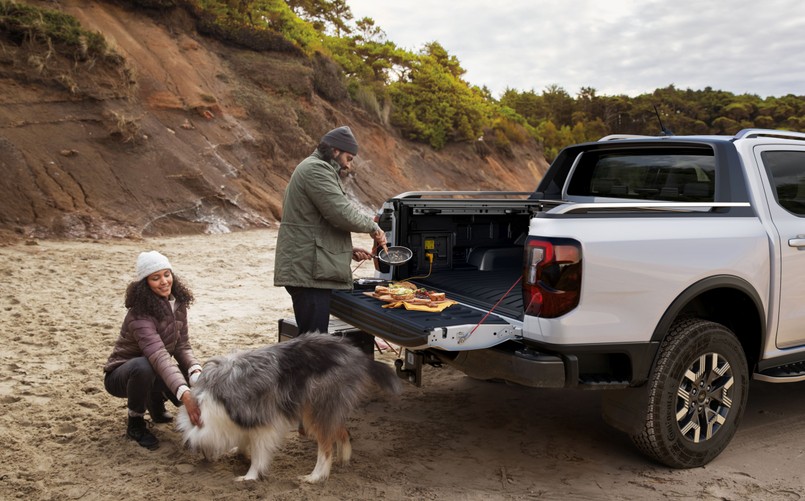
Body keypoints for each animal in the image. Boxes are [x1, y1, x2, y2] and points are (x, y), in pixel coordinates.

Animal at [176, 332, 402, 480]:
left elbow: (258, 454)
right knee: (342, 432)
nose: (206, 461)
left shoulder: (262, 423)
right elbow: (244, 440)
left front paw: (249, 476)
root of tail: (358, 355)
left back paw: (314, 477)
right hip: (326, 408)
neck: (212, 404)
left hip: (315, 410)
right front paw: (239, 452)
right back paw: (343, 459)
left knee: (326, 447)